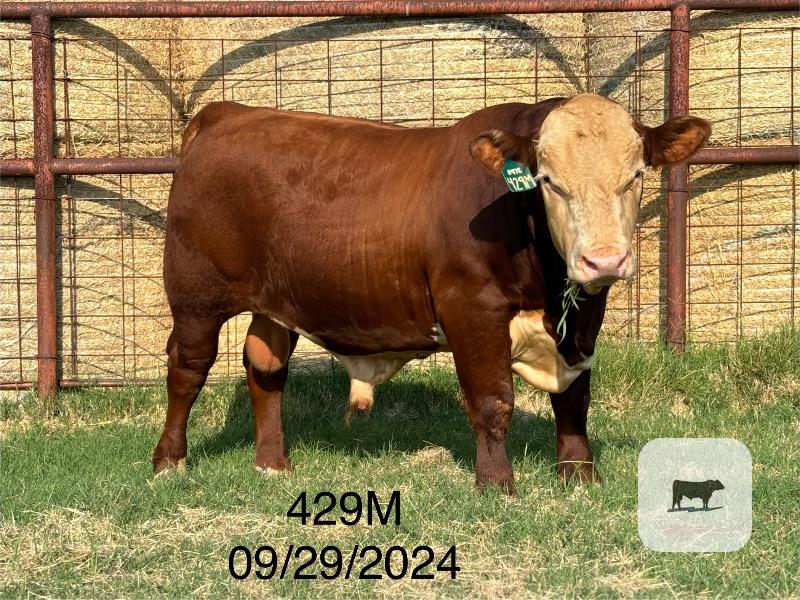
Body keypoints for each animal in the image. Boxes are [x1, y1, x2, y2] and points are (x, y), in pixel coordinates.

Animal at [153, 94, 710, 493]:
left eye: (636, 175)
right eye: (548, 180)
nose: (604, 260)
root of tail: (228, 113)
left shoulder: (584, 320)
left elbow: (575, 396)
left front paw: (579, 473)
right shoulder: (472, 309)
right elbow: (492, 400)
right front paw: (496, 484)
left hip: (278, 301)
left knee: (265, 367)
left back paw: (272, 463)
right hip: (194, 296)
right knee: (187, 370)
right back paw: (169, 461)